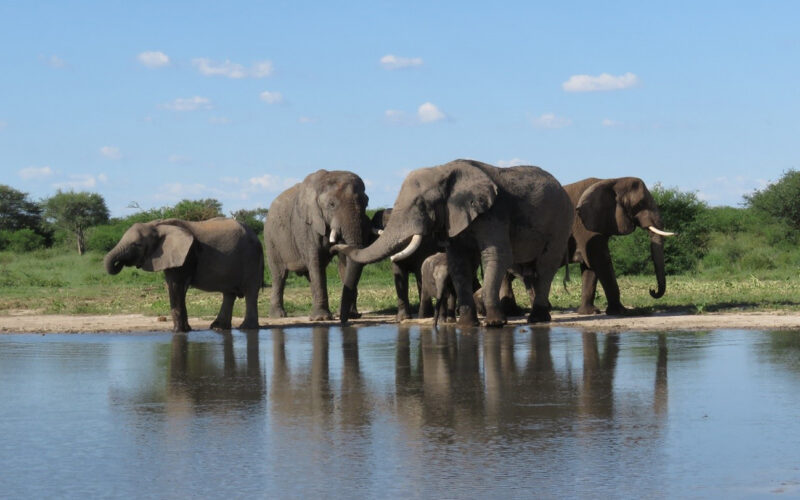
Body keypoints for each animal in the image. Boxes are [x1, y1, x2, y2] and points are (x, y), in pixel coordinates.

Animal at [104, 218, 263, 333]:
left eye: (137, 245)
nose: (119, 264)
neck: (157, 225)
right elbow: (173, 286)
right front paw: (186, 330)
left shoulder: (186, 256)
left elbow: (176, 286)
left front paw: (178, 331)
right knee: (229, 294)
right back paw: (218, 328)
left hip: (251, 258)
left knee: (250, 292)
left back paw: (246, 328)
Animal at [265, 169, 370, 323]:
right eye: (332, 204)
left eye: (366, 203)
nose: (342, 318)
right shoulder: (305, 225)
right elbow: (316, 260)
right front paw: (322, 318)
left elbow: (344, 262)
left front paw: (351, 316)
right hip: (271, 240)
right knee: (279, 275)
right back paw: (278, 316)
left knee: (310, 275)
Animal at [334, 159, 574, 327]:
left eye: (420, 204)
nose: (335, 244)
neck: (443, 170)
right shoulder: (455, 217)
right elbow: (458, 261)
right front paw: (466, 325)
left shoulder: (493, 213)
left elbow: (496, 256)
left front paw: (494, 324)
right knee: (531, 269)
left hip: (561, 221)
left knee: (546, 264)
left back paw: (537, 319)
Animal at [565, 177, 675, 315]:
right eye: (640, 204)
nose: (652, 290)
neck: (612, 181)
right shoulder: (584, 227)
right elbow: (600, 261)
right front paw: (620, 312)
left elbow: (590, 267)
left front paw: (590, 312)